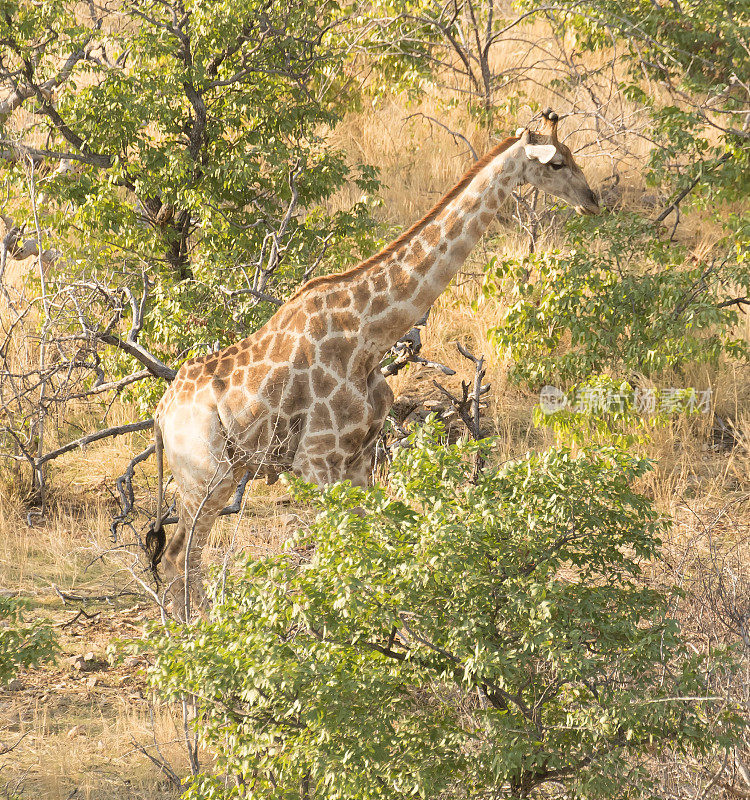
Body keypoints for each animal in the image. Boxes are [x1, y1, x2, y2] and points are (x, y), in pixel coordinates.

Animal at [150, 108, 604, 620]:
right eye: (556, 163)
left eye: (572, 157)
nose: (593, 201)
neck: (370, 334)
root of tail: (161, 413)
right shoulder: (316, 460)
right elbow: (339, 553)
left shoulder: (361, 456)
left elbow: (373, 544)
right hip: (206, 475)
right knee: (180, 555)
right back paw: (194, 629)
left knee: (182, 556)